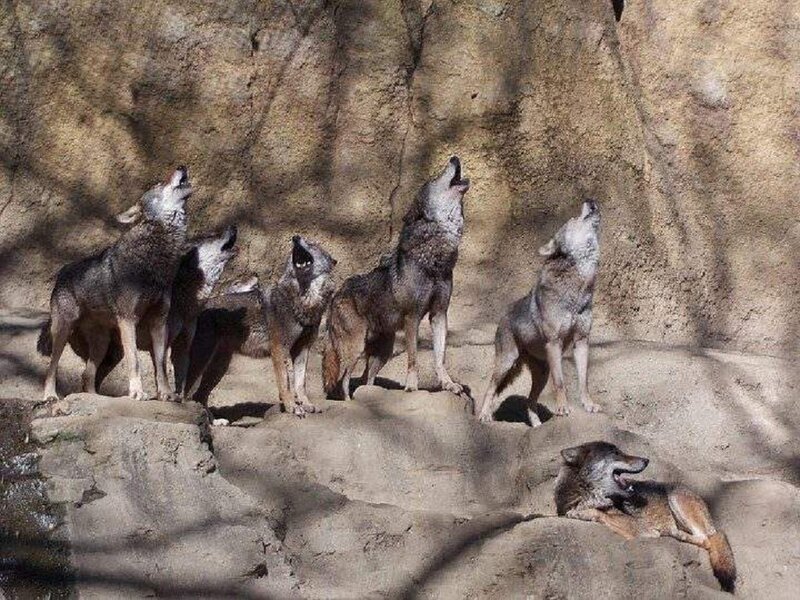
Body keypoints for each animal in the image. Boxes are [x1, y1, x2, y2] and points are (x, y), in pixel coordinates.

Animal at [37, 166, 192, 402]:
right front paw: (137, 392)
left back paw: (96, 398)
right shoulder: (128, 320)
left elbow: (161, 364)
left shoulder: (159, 322)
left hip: (101, 344)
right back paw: (50, 396)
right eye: (158, 184)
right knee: (51, 368)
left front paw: (166, 394)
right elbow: (135, 361)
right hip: (63, 331)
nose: (182, 166)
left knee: (86, 375)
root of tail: (62, 272)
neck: (154, 262)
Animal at [323, 156, 470, 400]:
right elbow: (413, 358)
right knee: (343, 380)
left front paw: (448, 384)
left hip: (384, 351)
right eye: (435, 178)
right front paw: (411, 387)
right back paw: (348, 402)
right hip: (355, 348)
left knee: (366, 380)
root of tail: (336, 295)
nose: (454, 157)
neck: (434, 258)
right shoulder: (413, 317)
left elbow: (440, 358)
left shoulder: (439, 314)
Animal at [476, 199, 601, 426]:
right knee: (491, 388)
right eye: (573, 219)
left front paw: (588, 405)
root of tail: (503, 315)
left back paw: (536, 426)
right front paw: (563, 409)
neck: (578, 289)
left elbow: (584, 380)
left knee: (530, 400)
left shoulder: (581, 341)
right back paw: (484, 415)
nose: (590, 200)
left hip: (541, 373)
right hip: (507, 363)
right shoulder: (554, 343)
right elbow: (560, 383)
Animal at [555, 441, 737, 593]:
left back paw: (678, 534)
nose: (646, 460)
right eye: (615, 453)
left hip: (676, 498)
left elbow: (599, 513)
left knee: (706, 538)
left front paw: (581, 513)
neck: (587, 495)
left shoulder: (640, 527)